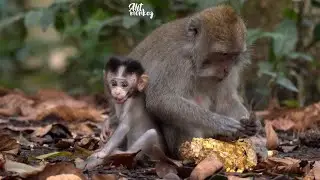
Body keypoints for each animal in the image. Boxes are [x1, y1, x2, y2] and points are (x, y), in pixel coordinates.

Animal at [126, 4, 262, 158]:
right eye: (223, 54)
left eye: (233, 56)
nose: (226, 69)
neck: (192, 54)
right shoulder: (177, 60)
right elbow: (161, 100)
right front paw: (220, 123)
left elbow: (225, 100)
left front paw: (253, 124)